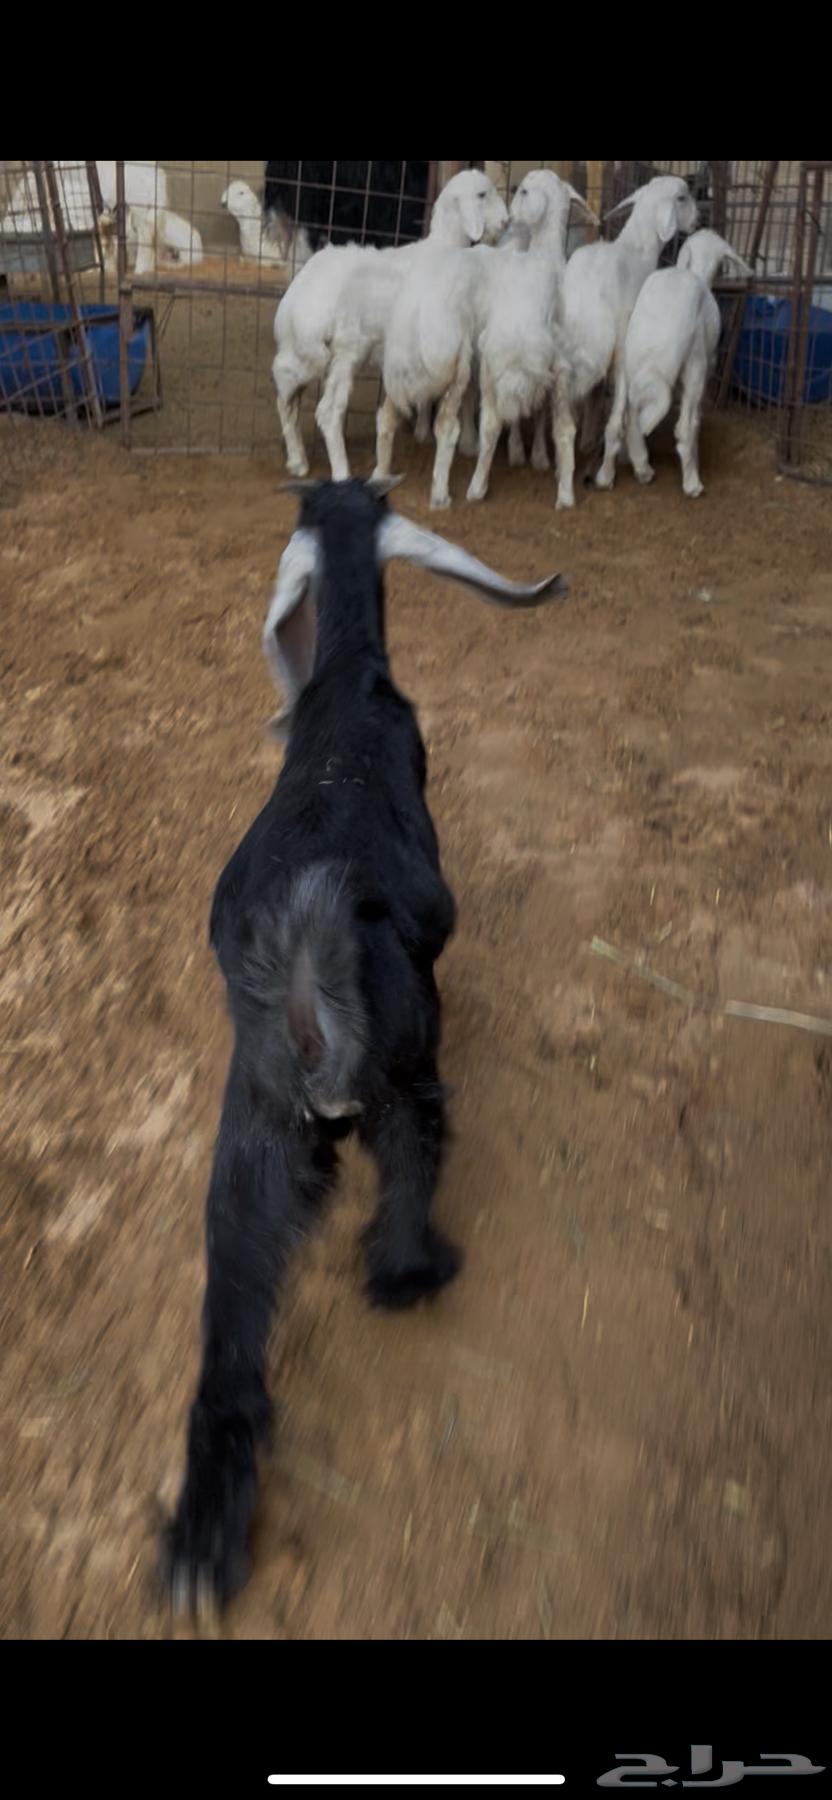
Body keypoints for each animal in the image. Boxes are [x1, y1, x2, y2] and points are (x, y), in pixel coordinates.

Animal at [163, 477, 567, 1615]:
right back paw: (419, 1270)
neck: (345, 677)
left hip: (251, 1143)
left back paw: (201, 1543)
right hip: (406, 1074)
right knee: (407, 1189)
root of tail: (309, 978)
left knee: (230, 1333)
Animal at [272, 170, 505, 481]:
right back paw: (341, 471)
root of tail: (296, 302)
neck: (444, 247)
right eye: (482, 195)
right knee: (327, 410)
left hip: (307, 352)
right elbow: (466, 391)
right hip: (347, 350)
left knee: (285, 387)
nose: (505, 221)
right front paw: (467, 441)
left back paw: (297, 459)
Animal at [552, 175, 698, 508]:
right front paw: (636, 463)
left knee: (567, 421)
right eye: (683, 198)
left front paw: (590, 444)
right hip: (618, 348)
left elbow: (595, 399)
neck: (639, 250)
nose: (697, 220)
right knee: (616, 418)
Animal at [624, 228, 752, 498]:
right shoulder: (707, 364)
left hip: (631, 366)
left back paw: (643, 468)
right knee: (683, 429)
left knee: (630, 419)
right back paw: (692, 483)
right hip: (696, 364)